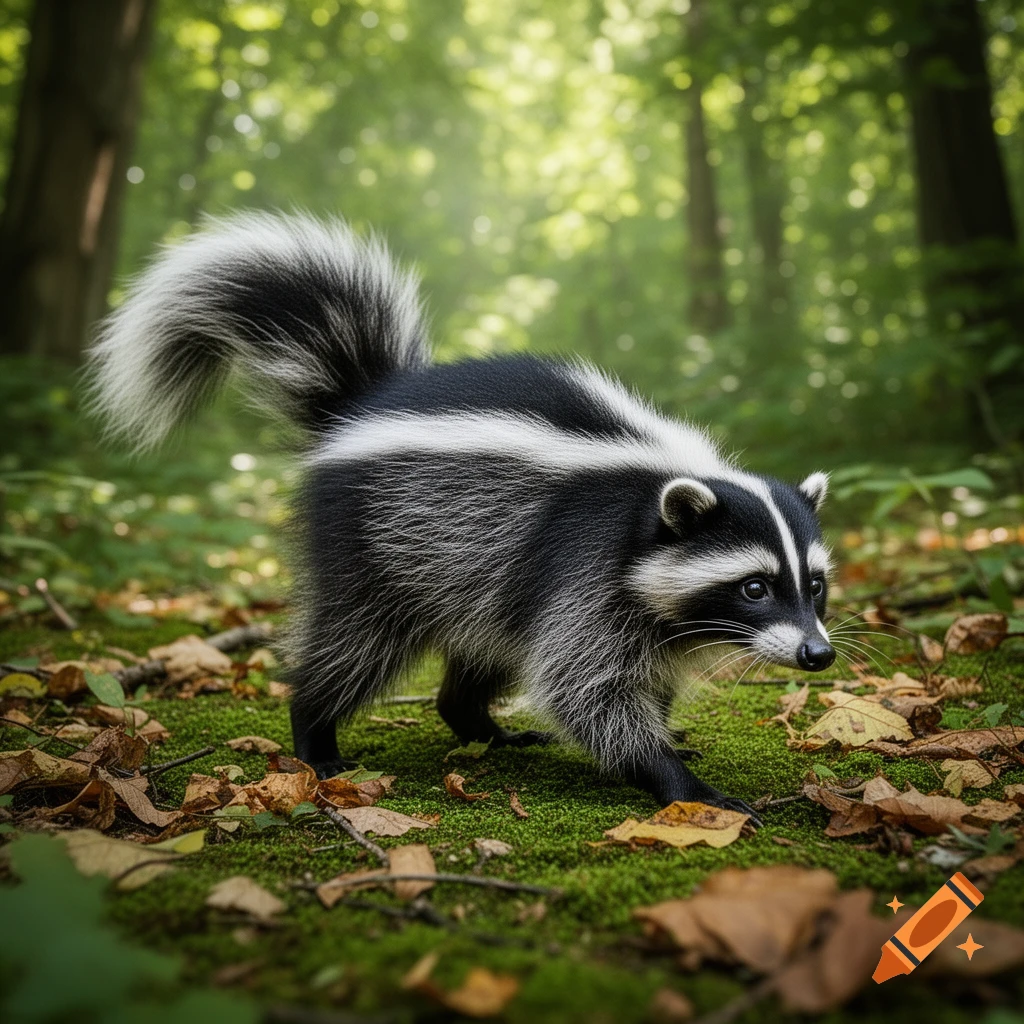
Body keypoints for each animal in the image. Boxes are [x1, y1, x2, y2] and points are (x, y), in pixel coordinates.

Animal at [88, 212, 835, 819]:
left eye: (816, 584)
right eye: (755, 586)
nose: (818, 653)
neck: (654, 492)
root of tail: (360, 409)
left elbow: (628, 676)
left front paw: (665, 734)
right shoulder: (587, 558)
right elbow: (583, 684)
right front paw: (674, 780)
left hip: (477, 571)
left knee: (484, 652)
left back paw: (483, 726)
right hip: (377, 543)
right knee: (352, 644)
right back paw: (315, 733)